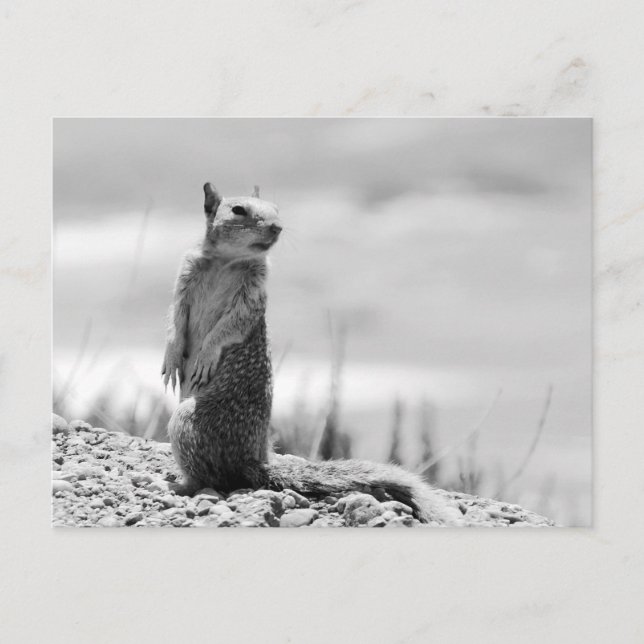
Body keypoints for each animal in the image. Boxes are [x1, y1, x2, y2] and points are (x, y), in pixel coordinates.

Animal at [162, 183, 454, 524]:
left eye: (276, 208)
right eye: (238, 210)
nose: (277, 227)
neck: (226, 261)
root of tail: (253, 461)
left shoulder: (252, 294)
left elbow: (229, 327)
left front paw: (205, 355)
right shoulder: (185, 274)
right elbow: (175, 318)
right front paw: (171, 358)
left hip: (185, 419)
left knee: (209, 479)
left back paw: (177, 484)